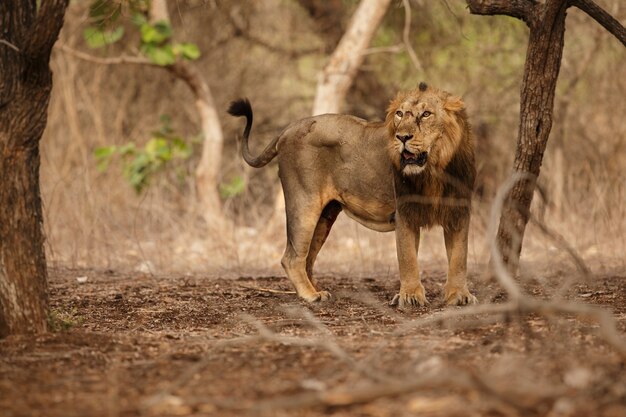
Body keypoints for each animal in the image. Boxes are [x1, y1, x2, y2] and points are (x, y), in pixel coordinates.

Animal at [227, 83, 476, 308]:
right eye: (399, 114)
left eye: (426, 114)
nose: (402, 137)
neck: (435, 169)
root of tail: (288, 128)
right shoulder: (405, 213)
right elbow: (408, 260)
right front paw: (411, 297)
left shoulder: (459, 213)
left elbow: (459, 258)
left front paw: (459, 296)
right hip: (304, 203)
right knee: (291, 257)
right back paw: (310, 296)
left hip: (325, 216)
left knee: (308, 258)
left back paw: (317, 290)